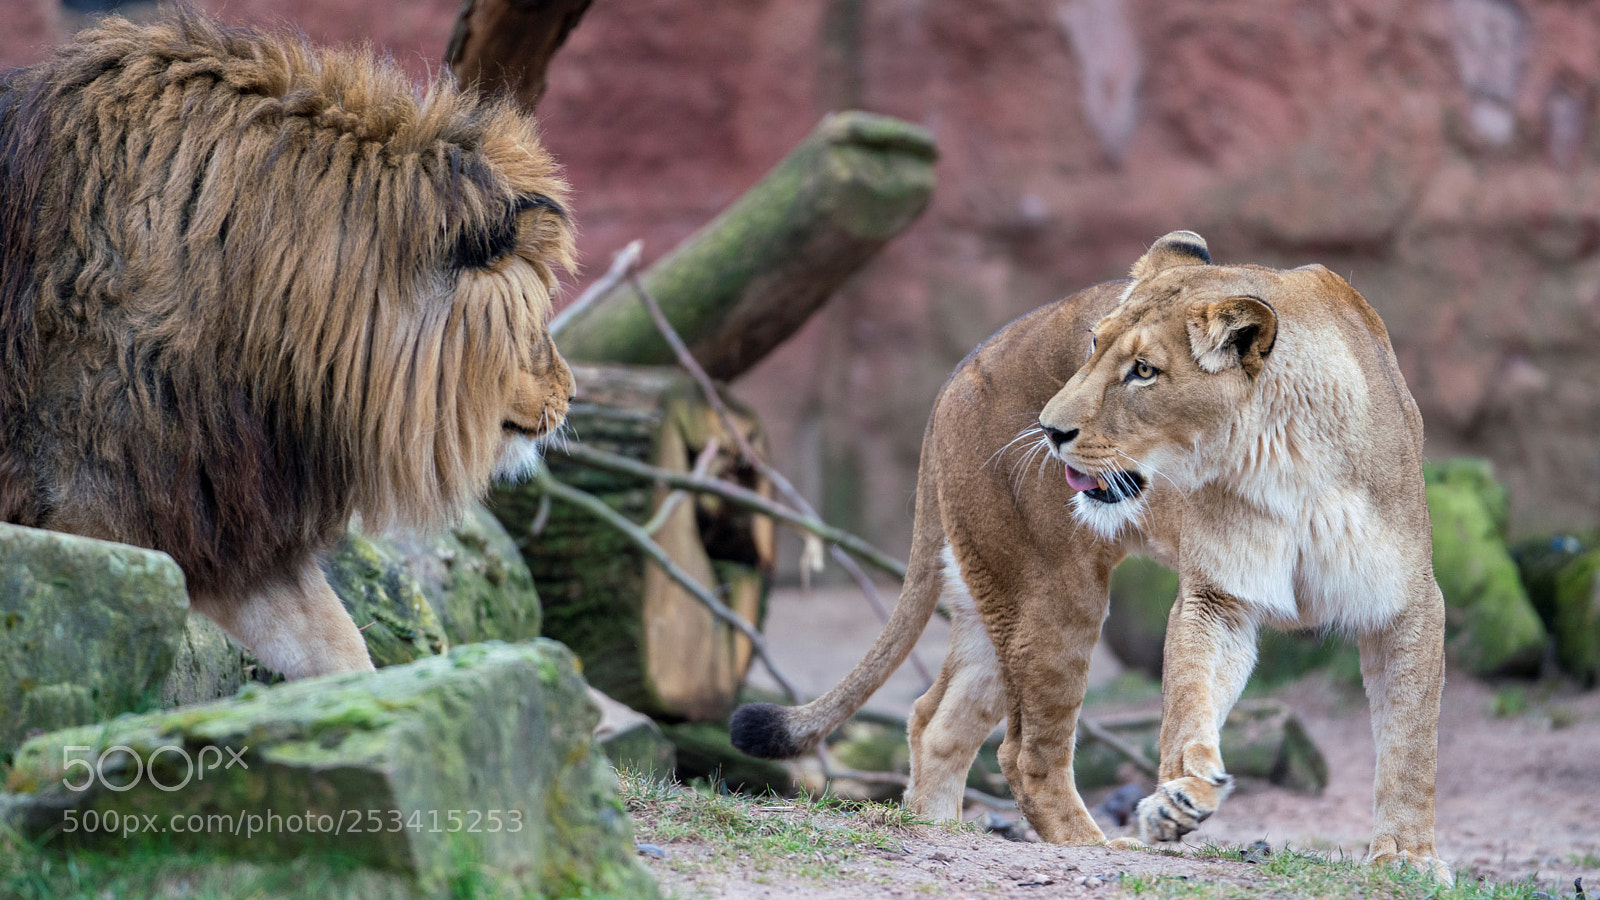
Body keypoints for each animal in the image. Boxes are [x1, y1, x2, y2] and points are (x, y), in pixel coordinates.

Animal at [732, 231, 1451, 882]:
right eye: (1093, 346)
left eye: (1144, 371)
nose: (1050, 430)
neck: (1280, 460)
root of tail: (955, 376)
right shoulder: (1216, 599)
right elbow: (1188, 702)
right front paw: (1179, 798)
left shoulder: (1408, 604)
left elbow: (1411, 743)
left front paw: (1408, 858)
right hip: (1050, 595)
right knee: (1024, 754)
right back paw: (1093, 844)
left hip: (1001, 598)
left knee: (936, 720)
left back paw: (934, 827)